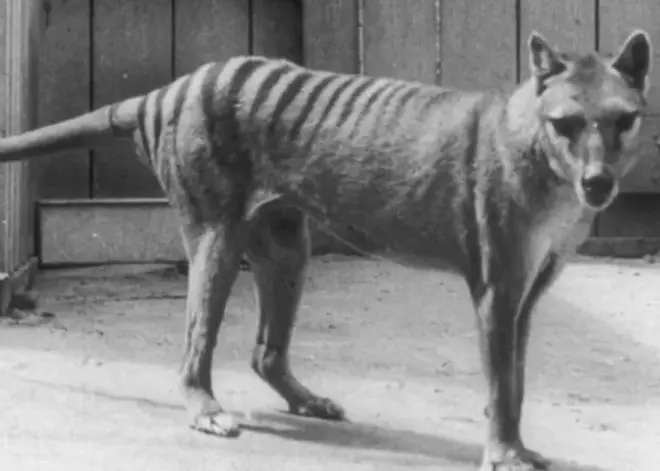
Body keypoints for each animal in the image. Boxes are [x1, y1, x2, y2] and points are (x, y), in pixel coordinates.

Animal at [0, 30, 651, 471]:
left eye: (623, 120)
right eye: (566, 123)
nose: (598, 183)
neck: (535, 147)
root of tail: (173, 89)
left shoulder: (526, 296)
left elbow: (514, 386)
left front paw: (516, 446)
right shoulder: (496, 291)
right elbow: (499, 386)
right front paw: (502, 452)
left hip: (288, 248)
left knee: (266, 353)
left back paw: (305, 400)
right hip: (216, 239)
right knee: (194, 346)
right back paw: (205, 408)